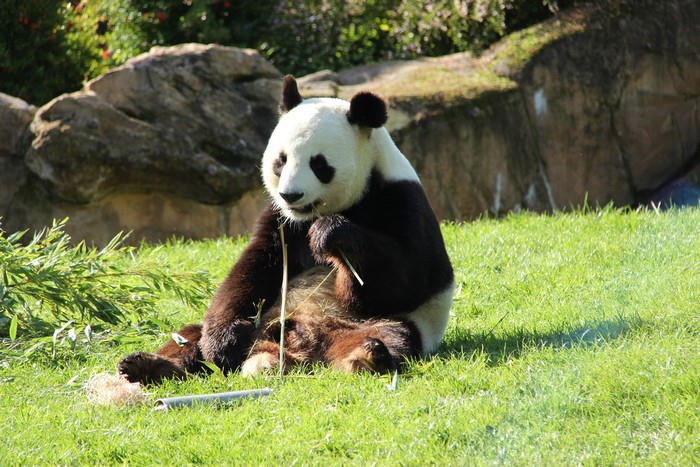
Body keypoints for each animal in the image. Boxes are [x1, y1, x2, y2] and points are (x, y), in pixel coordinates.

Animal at [118, 76, 455, 384]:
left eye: (319, 164)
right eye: (281, 160)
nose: (290, 195)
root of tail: (292, 348)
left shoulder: (401, 200)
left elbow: (407, 277)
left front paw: (332, 235)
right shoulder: (280, 220)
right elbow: (253, 269)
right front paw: (224, 342)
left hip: (378, 324)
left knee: (391, 336)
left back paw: (367, 357)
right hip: (258, 324)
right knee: (189, 337)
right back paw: (147, 366)